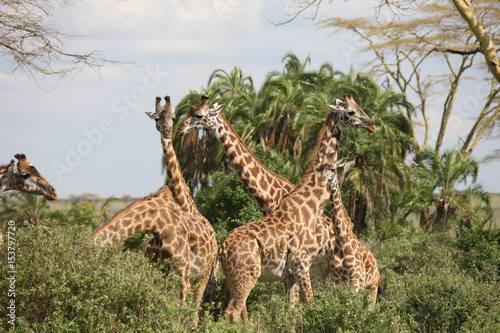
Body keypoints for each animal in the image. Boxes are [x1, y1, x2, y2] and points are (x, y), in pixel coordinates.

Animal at [176, 93, 368, 306]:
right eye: (352, 111)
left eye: (199, 115)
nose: (371, 124)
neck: (267, 194)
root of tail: (352, 228)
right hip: (321, 268)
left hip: (331, 266)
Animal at [324, 160, 378, 302]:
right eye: (321, 167)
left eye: (333, 169)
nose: (323, 178)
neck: (342, 240)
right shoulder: (336, 281)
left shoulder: (355, 281)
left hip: (372, 288)